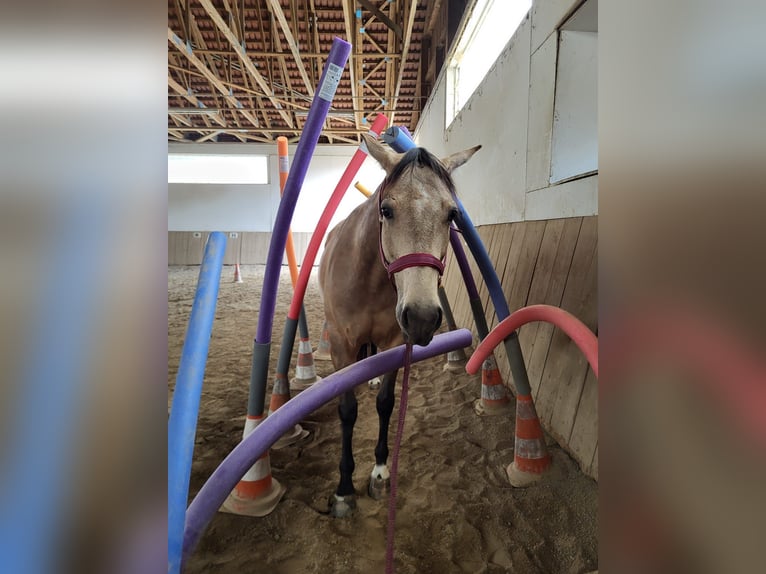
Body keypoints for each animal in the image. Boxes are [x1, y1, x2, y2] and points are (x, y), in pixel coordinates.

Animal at [318, 134, 480, 517]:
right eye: (386, 211)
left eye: (451, 214)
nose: (421, 316)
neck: (369, 279)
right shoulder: (342, 346)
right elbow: (348, 410)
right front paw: (344, 490)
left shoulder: (394, 342)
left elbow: (386, 403)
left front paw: (379, 473)